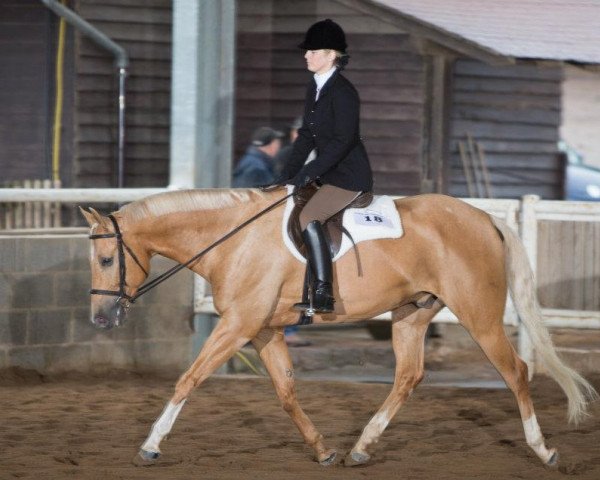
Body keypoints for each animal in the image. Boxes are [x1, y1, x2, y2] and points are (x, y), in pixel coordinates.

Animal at [82, 188, 596, 468]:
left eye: (107, 259)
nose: (101, 319)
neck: (233, 239)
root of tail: (485, 218)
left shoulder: (238, 324)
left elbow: (189, 379)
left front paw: (150, 447)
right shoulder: (264, 330)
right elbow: (286, 392)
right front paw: (323, 450)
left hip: (480, 315)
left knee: (517, 372)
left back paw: (543, 451)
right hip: (411, 314)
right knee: (408, 376)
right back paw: (362, 448)